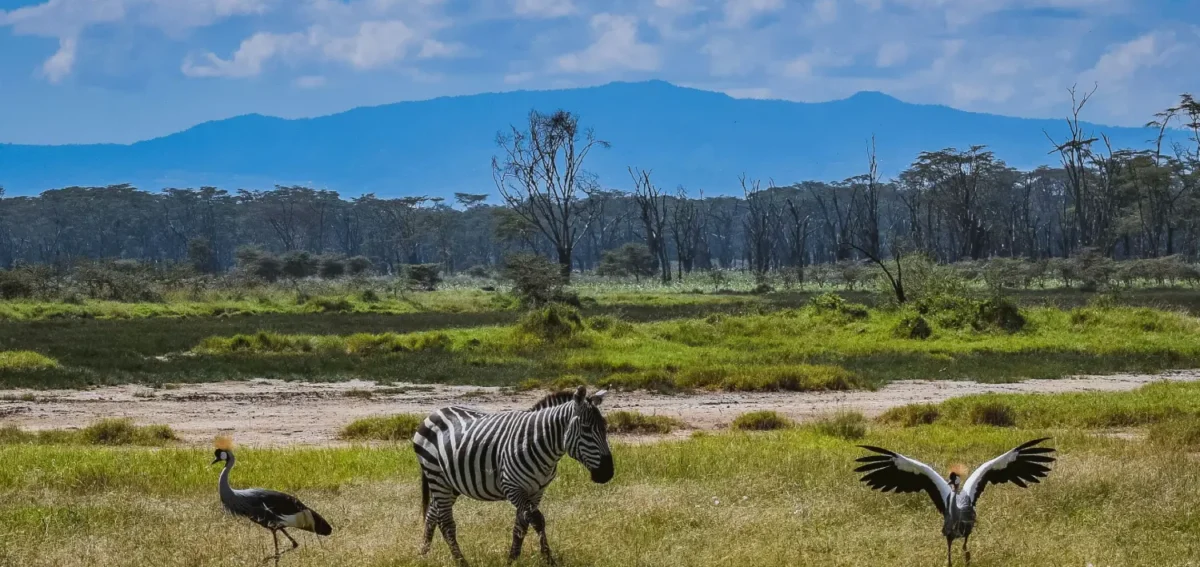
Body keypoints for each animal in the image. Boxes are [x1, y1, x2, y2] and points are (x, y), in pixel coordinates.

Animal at [411, 385, 614, 566]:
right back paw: (461, 562)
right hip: (436, 476)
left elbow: (521, 525)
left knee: (432, 515)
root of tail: (435, 413)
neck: (540, 443)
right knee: (446, 523)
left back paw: (423, 554)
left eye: (605, 428)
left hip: (449, 483)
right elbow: (537, 521)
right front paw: (549, 560)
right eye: (586, 429)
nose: (608, 473)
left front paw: (512, 559)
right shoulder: (513, 487)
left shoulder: (537, 491)